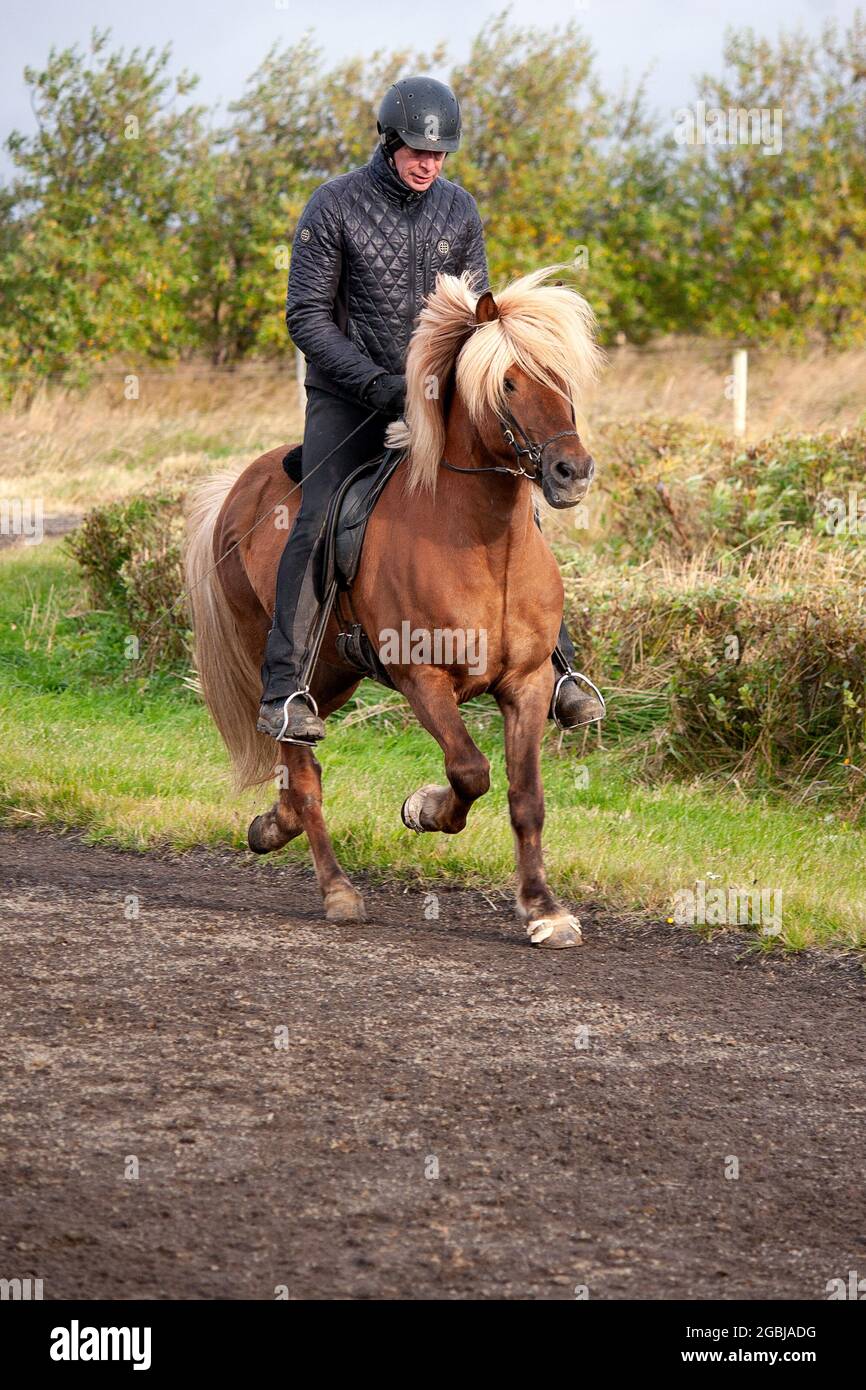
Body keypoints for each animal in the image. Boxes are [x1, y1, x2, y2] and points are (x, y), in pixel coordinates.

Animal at [183, 262, 603, 945]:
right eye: (507, 383)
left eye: (561, 378)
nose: (573, 472)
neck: (483, 544)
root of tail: (237, 489)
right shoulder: (422, 678)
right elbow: (470, 770)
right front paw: (424, 810)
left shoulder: (529, 684)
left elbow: (526, 797)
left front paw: (544, 909)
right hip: (287, 665)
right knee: (302, 765)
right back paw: (336, 889)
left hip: (332, 677)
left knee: (292, 762)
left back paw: (272, 825)